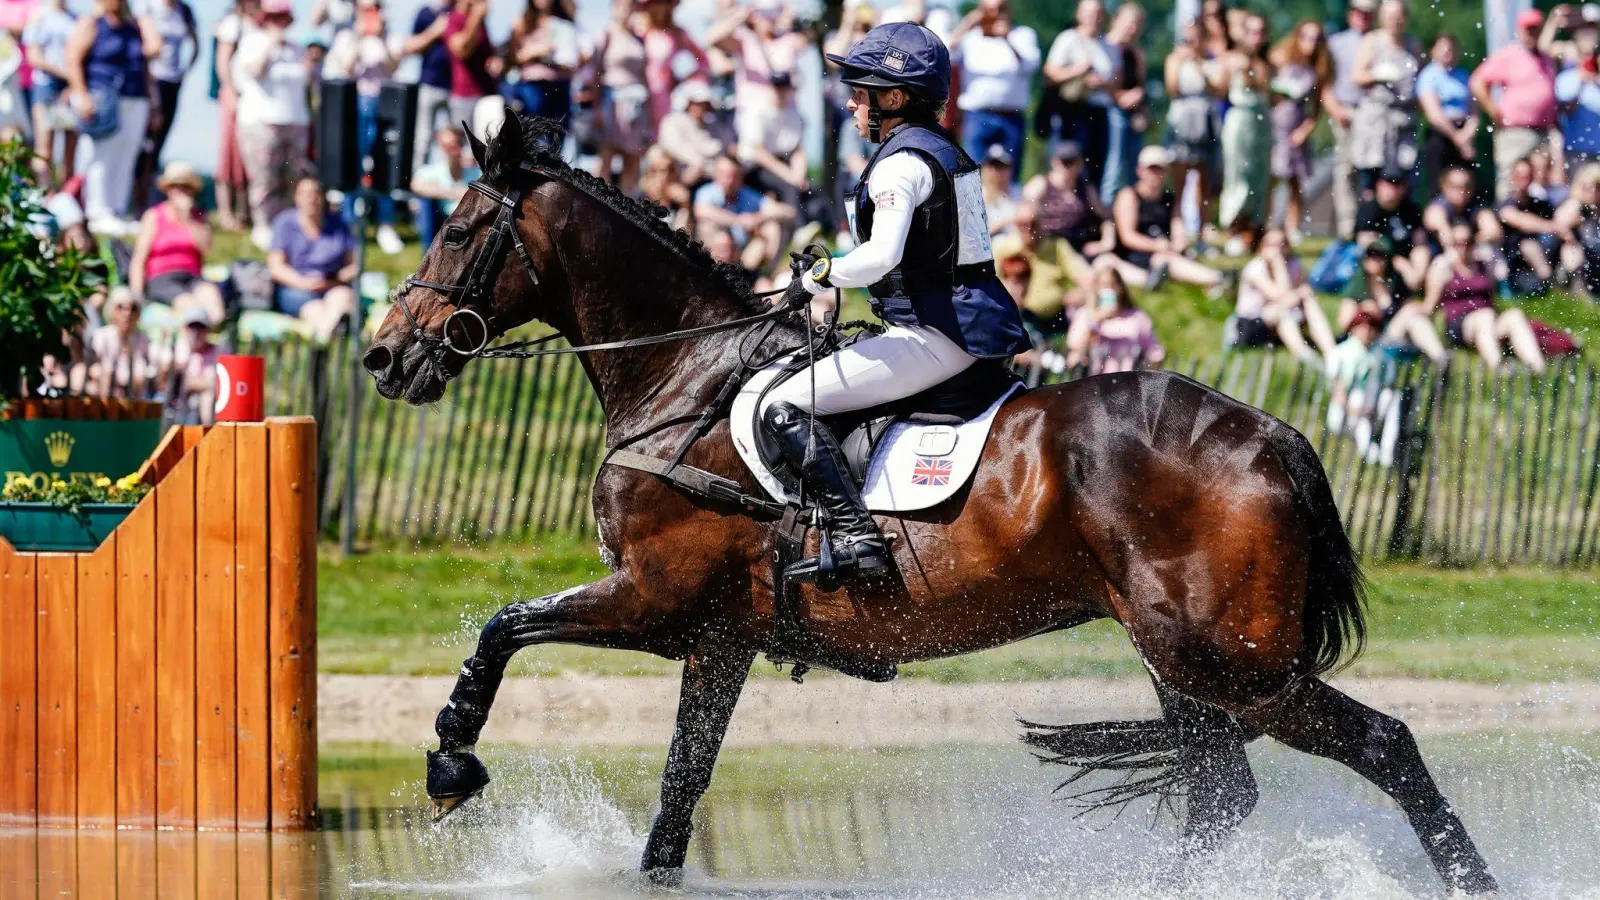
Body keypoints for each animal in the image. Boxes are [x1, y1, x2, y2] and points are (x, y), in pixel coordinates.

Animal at [360, 115, 1497, 890]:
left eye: (457, 229)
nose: (384, 357)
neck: (682, 376)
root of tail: (1270, 435)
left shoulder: (652, 600)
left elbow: (504, 628)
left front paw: (451, 759)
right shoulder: (719, 638)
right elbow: (679, 792)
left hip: (1235, 663)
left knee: (1382, 748)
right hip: (1184, 660)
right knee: (1223, 794)